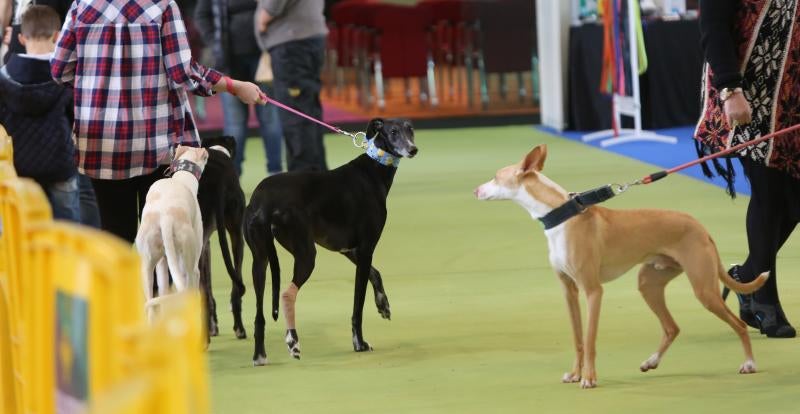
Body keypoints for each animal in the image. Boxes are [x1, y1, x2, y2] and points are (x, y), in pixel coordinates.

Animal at [136, 146, 209, 320]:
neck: (182, 179)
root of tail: (165, 217)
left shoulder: (163, 262)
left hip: (147, 265)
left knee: (152, 304)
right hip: (189, 263)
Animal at [476, 145, 768, 388]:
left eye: (495, 177)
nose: (476, 190)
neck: (562, 218)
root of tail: (701, 227)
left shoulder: (593, 291)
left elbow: (590, 339)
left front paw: (589, 378)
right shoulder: (569, 291)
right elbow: (578, 339)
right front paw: (575, 374)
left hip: (703, 289)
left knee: (739, 325)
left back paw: (750, 363)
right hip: (649, 284)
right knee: (672, 327)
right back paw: (652, 361)